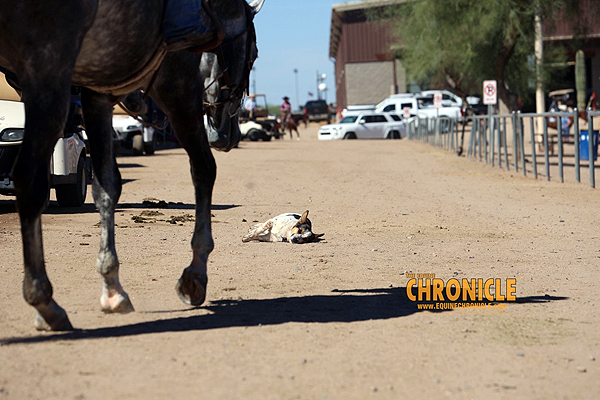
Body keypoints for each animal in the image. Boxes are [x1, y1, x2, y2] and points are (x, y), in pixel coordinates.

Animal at [0, 0, 264, 331]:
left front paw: (112, 287)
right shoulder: (178, 85)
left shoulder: (98, 90)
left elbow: (106, 187)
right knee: (29, 180)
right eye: (254, 54)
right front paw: (195, 275)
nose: (231, 135)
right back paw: (44, 301)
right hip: (48, 72)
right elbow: (204, 169)